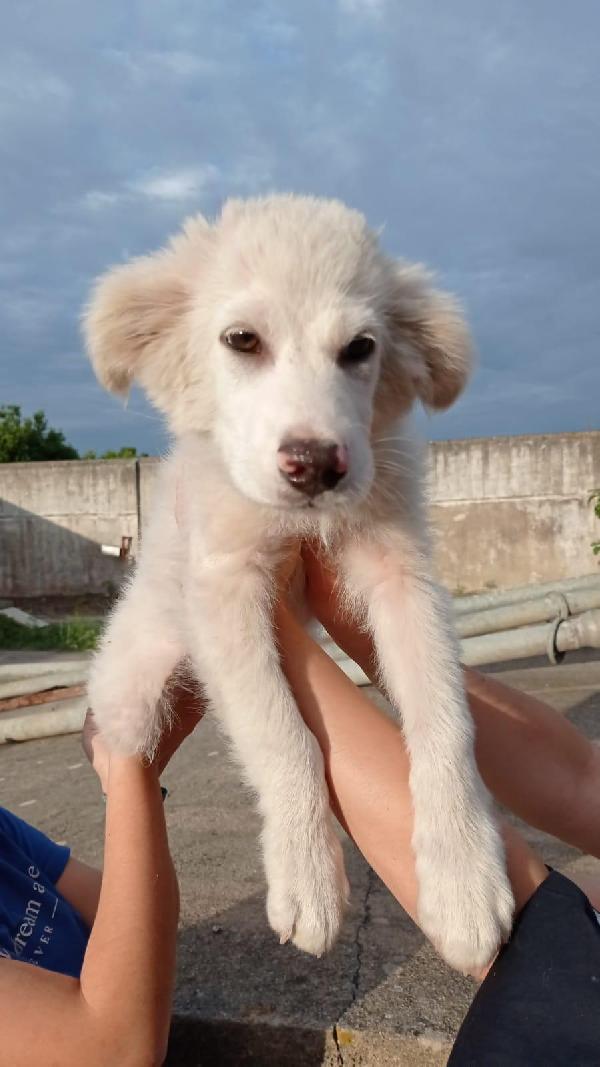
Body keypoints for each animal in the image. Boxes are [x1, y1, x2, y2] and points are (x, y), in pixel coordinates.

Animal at [84, 196, 512, 973]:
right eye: (241, 340)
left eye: (361, 349)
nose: (315, 464)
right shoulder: (223, 582)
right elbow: (282, 731)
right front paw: (307, 877)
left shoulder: (402, 576)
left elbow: (445, 721)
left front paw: (464, 881)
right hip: (130, 686)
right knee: (121, 750)